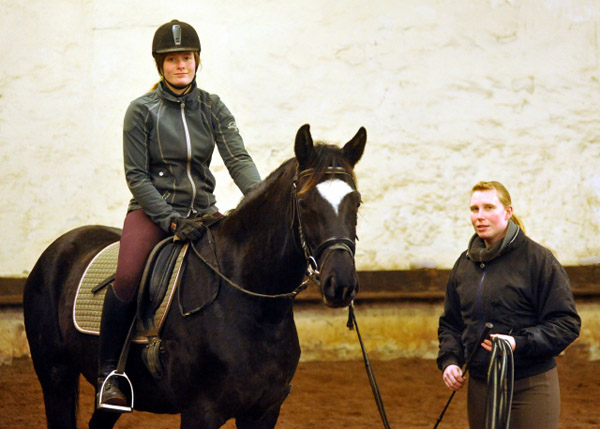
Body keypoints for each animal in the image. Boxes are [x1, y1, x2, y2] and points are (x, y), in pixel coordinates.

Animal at [23, 122, 368, 426]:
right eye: (304, 203)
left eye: (357, 202)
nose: (341, 284)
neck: (256, 307)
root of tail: (60, 246)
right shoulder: (201, 412)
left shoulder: (263, 412)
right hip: (56, 376)